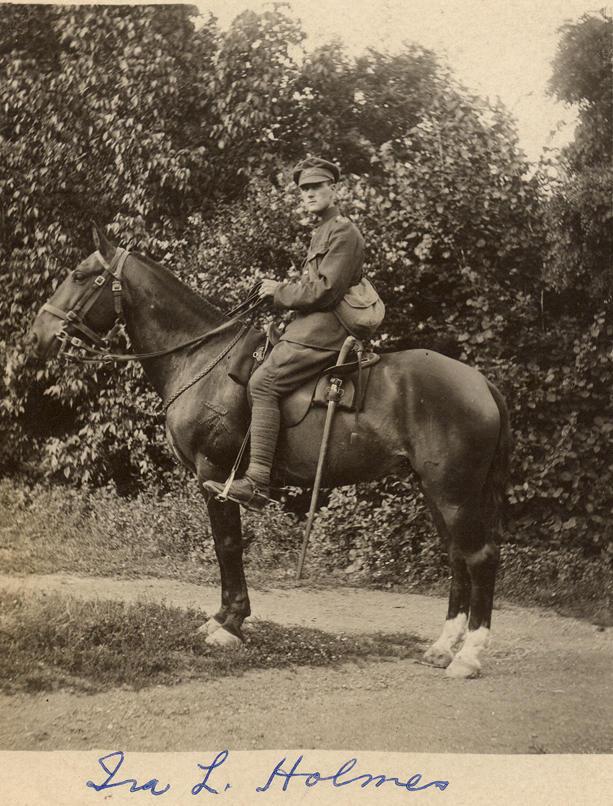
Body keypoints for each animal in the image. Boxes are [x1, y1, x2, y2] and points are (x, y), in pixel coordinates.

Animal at [27, 227, 506, 680]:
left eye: (80, 275)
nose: (38, 337)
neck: (200, 358)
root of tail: (481, 383)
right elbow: (228, 547)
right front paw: (223, 617)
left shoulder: (215, 474)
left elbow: (227, 545)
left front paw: (230, 624)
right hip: (433, 490)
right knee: (457, 557)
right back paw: (443, 646)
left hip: (453, 493)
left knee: (479, 557)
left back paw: (468, 656)